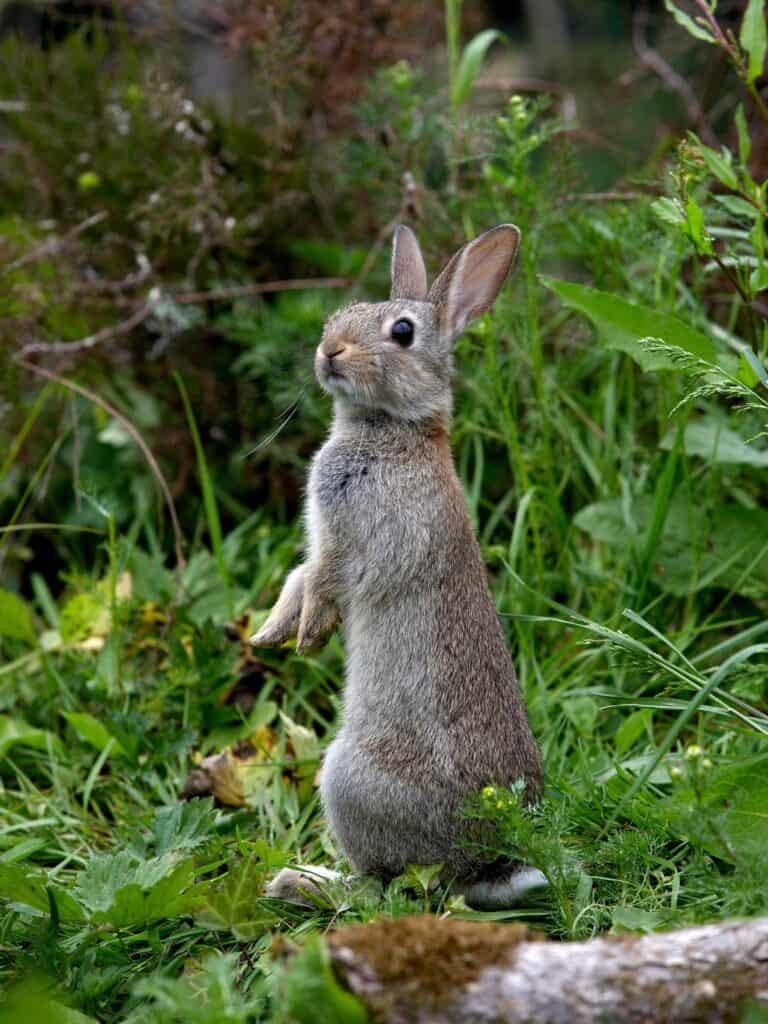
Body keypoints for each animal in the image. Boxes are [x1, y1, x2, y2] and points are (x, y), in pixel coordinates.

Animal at [251, 224, 544, 909]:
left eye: (403, 332)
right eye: (340, 315)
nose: (329, 351)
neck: (393, 427)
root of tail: (485, 859)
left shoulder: (364, 539)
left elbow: (329, 577)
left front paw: (308, 635)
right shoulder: (319, 543)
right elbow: (298, 577)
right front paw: (271, 633)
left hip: (346, 779)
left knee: (381, 888)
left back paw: (300, 880)